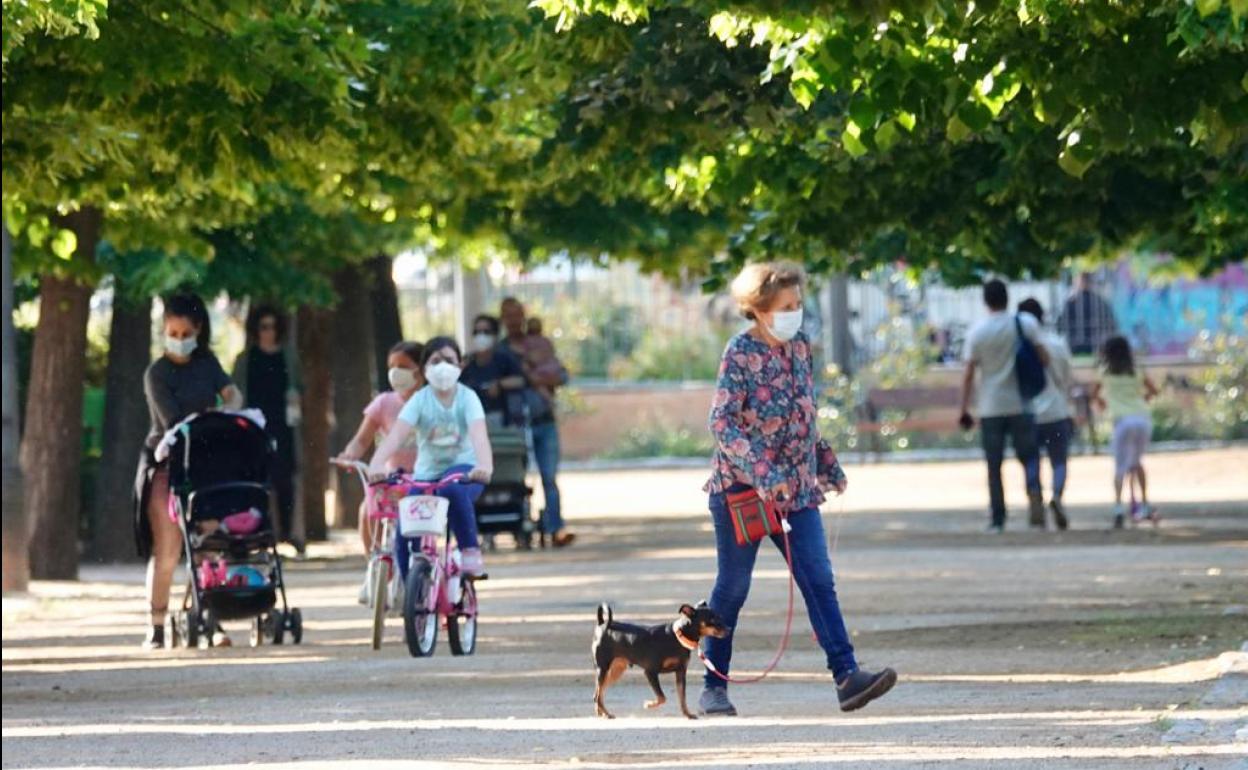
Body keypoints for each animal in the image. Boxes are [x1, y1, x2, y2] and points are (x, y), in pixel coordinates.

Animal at [589, 596, 728, 718]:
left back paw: (601, 713)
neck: (678, 637)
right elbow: (662, 697)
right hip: (603, 669)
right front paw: (649, 704)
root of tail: (602, 624)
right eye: (712, 620)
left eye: (720, 617)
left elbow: (682, 698)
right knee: (598, 695)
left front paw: (687, 714)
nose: (729, 629)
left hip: (614, 671)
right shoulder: (650, 672)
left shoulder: (680, 674)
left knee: (598, 693)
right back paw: (607, 714)